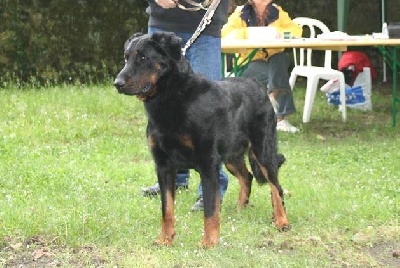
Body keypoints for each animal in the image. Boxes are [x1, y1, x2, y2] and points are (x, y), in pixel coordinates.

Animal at [114, 30, 290, 247]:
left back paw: (281, 220)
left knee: (275, 186)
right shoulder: (163, 165)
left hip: (262, 150)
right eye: (126, 57)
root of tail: (257, 85)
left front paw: (209, 242)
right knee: (247, 176)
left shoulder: (208, 162)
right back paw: (240, 209)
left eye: (144, 58)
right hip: (231, 155)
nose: (117, 84)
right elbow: (167, 208)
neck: (173, 97)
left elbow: (210, 209)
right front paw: (165, 238)